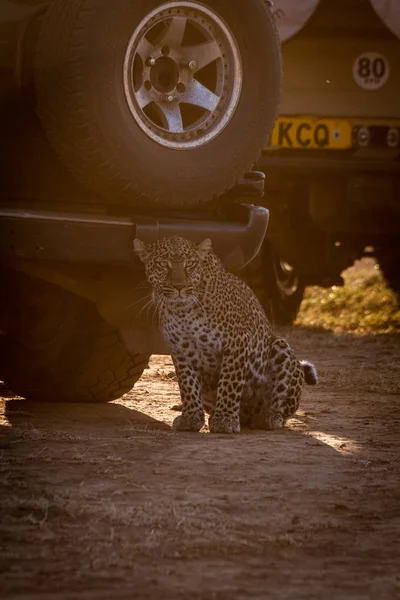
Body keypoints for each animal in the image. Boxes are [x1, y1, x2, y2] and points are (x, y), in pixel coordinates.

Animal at [134, 236, 318, 436]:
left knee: (282, 408)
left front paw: (225, 420)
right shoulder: (180, 348)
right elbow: (188, 384)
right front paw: (191, 418)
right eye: (162, 264)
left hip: (280, 347)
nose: (179, 287)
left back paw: (268, 417)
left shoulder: (236, 342)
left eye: (189, 264)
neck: (183, 309)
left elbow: (230, 381)